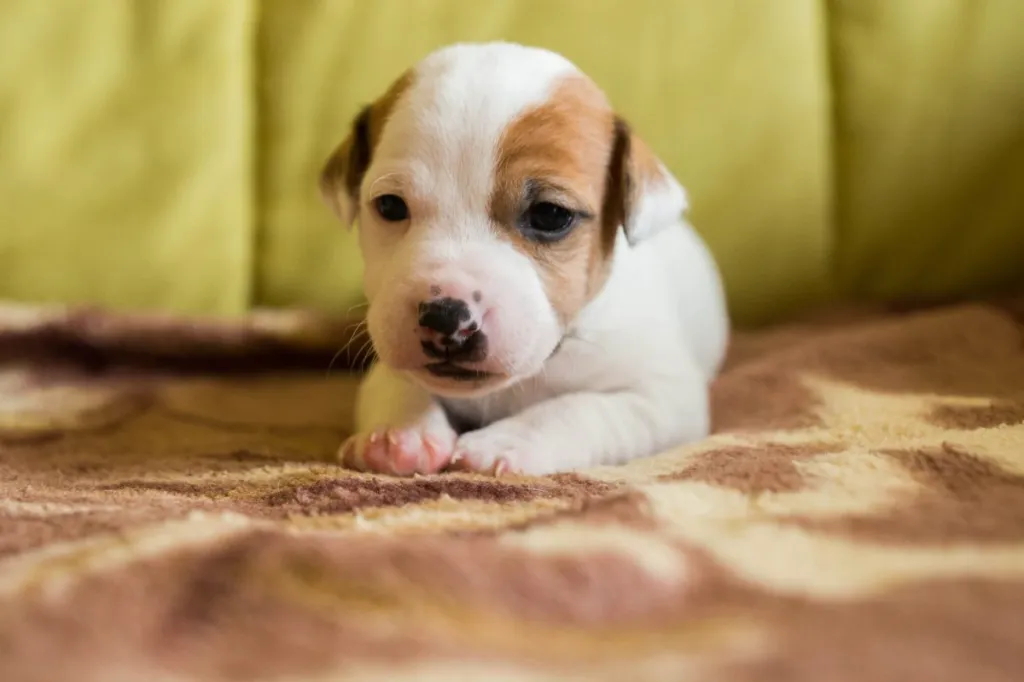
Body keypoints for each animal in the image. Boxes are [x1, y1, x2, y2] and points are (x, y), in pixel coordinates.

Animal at [319, 42, 729, 475]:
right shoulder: (388, 350)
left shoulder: (663, 397)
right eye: (390, 206)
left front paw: (507, 440)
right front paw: (400, 433)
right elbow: (395, 384)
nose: (446, 316)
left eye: (550, 215)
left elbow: (579, 410)